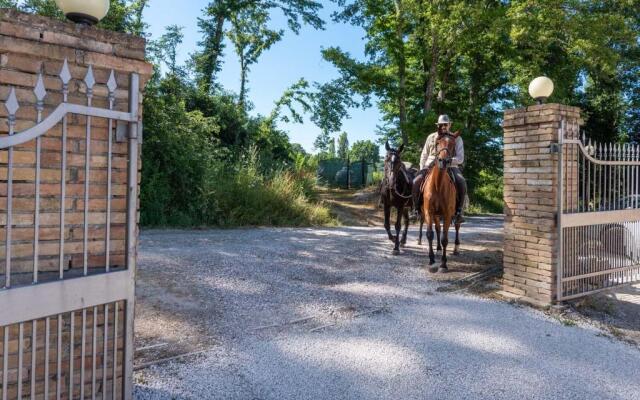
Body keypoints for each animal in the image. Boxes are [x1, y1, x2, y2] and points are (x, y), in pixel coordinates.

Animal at [420, 133, 460, 274]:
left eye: (453, 144)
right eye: (437, 142)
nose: (444, 161)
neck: (438, 185)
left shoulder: (448, 214)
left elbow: (445, 239)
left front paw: (443, 264)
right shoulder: (428, 212)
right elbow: (430, 234)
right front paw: (432, 261)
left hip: (455, 214)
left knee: (457, 226)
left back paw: (456, 248)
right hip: (436, 215)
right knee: (437, 229)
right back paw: (437, 249)